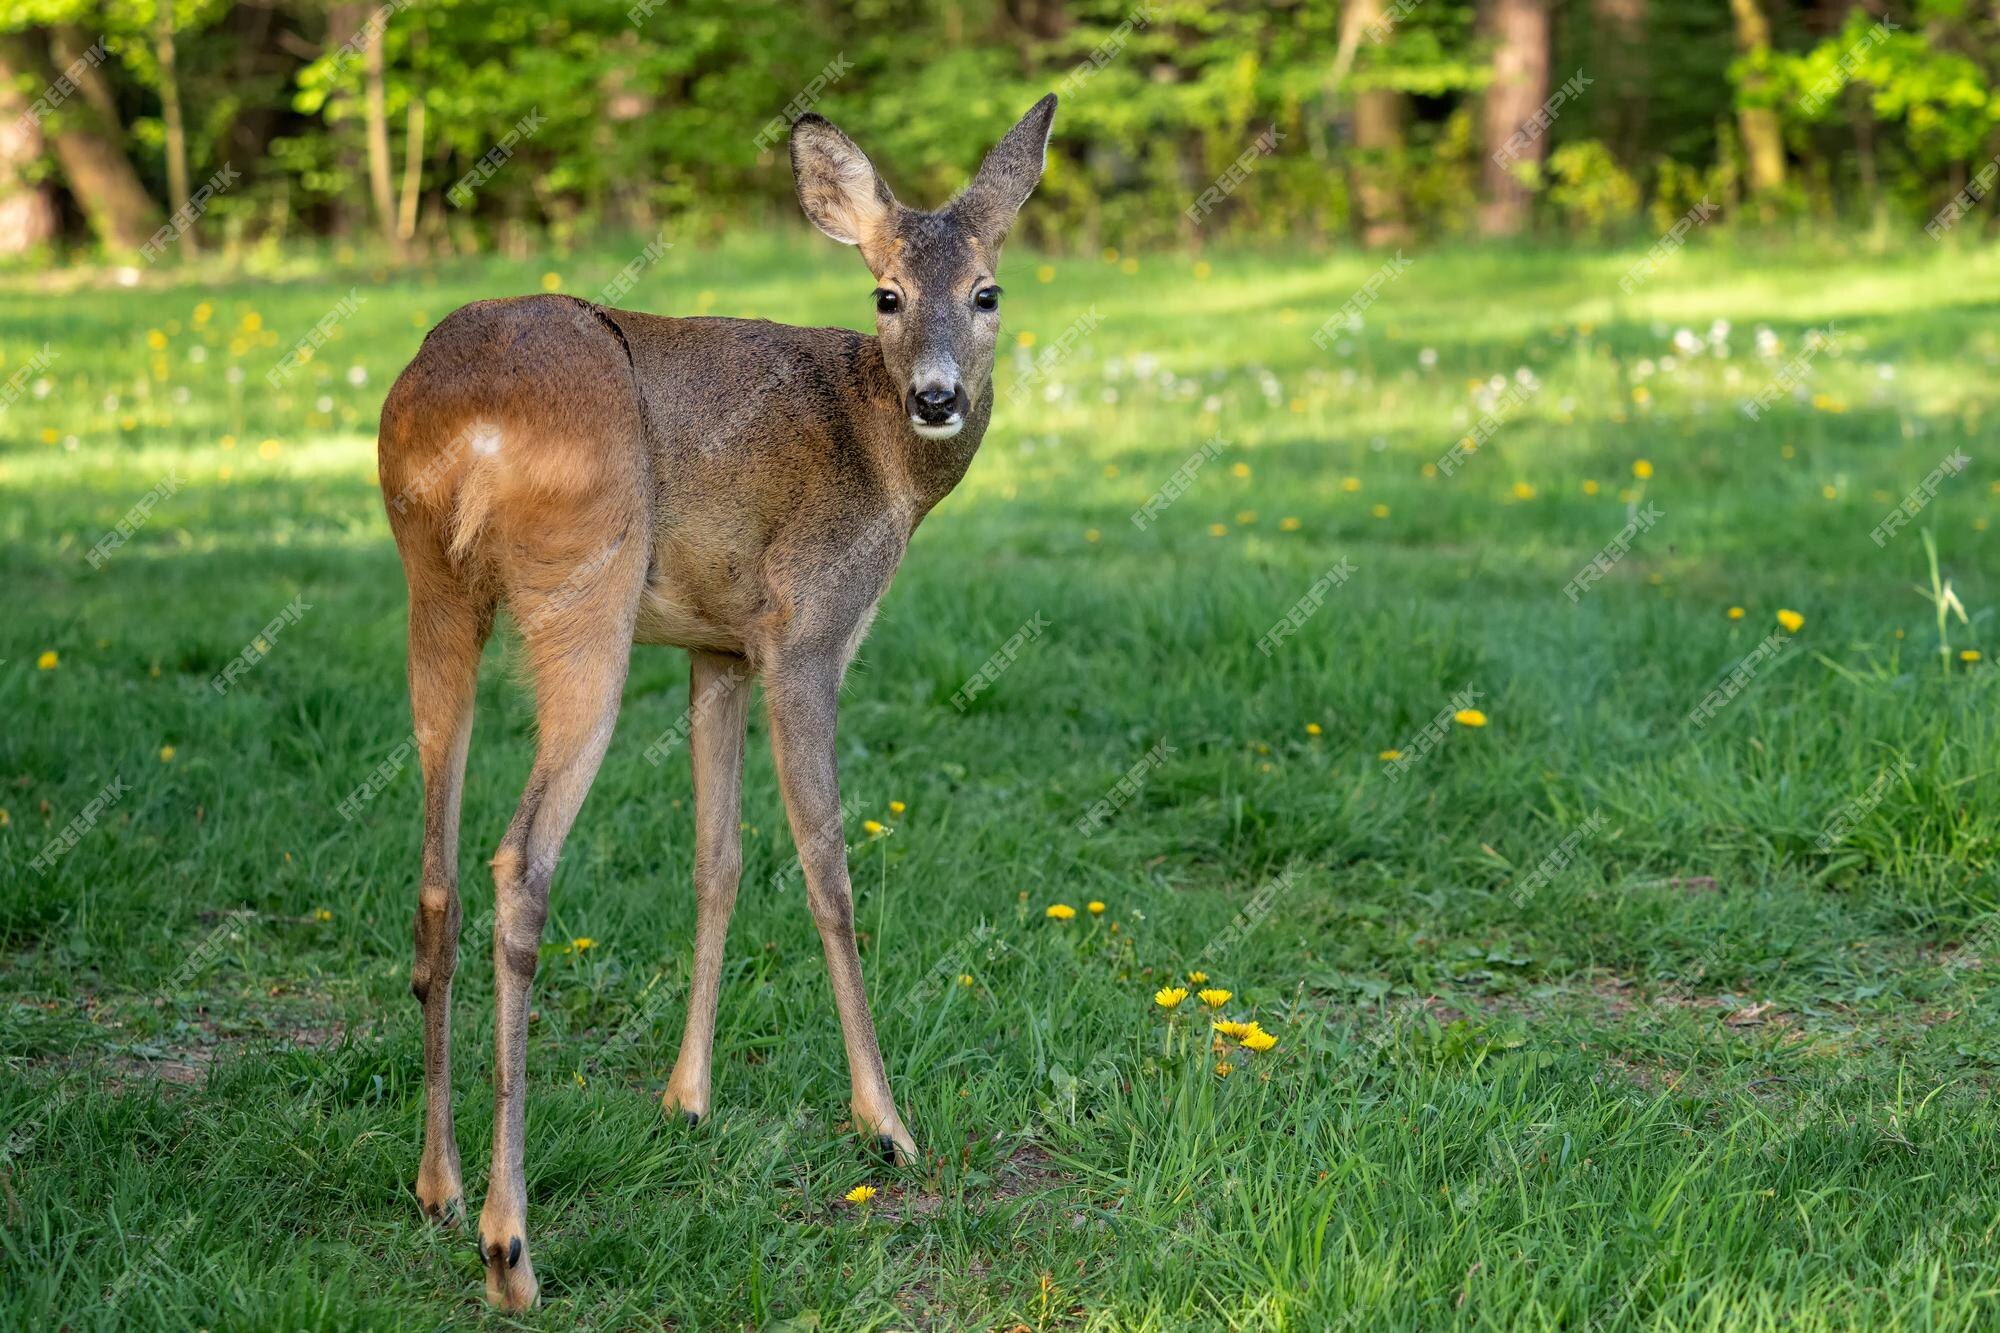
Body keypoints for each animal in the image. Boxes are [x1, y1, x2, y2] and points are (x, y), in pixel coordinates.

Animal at [376, 96, 1064, 1304]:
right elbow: (826, 870)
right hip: (585, 587)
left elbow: (718, 858)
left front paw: (685, 1099)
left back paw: (439, 1188)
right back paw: (510, 1247)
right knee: (518, 861)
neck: (881, 459)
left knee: (437, 873)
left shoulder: (715, 647)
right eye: (885, 293)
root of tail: (459, 425)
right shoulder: (803, 630)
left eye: (988, 291)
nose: (936, 397)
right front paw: (885, 1123)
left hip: (437, 589)